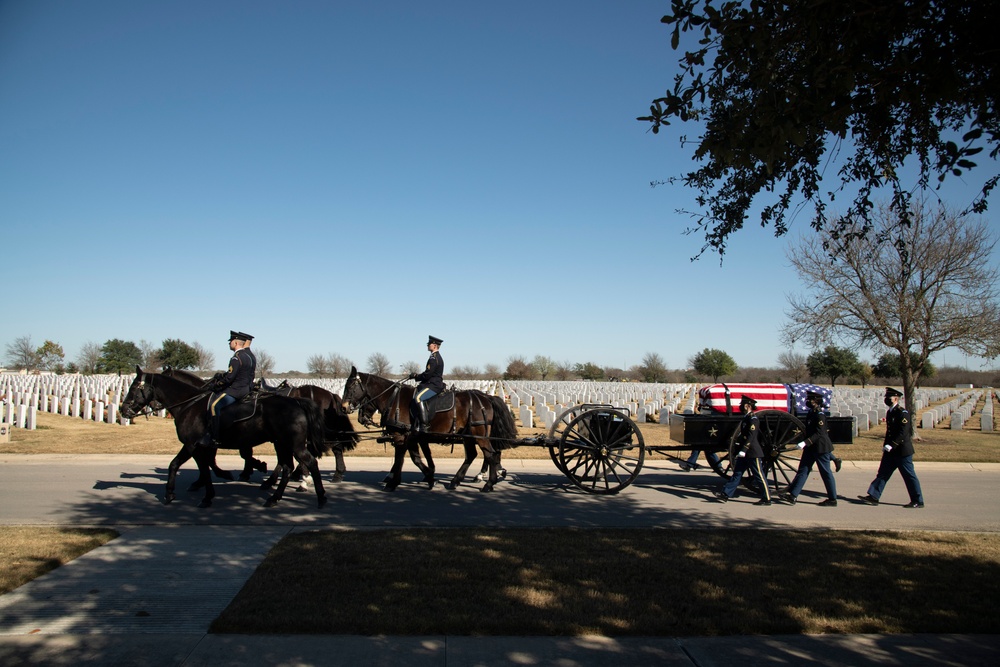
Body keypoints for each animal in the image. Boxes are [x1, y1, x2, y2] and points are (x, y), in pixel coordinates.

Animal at [121, 368, 330, 508]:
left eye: (134, 387)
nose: (123, 410)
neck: (190, 404)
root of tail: (297, 401)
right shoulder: (200, 446)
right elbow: (194, 466)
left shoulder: (193, 445)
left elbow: (192, 466)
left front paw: (191, 494)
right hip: (282, 443)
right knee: (287, 466)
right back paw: (275, 495)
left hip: (293, 444)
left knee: (309, 462)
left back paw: (319, 496)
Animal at [342, 366, 520, 490]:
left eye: (350, 387)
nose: (344, 407)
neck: (393, 399)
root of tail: (486, 397)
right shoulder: (413, 438)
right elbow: (417, 458)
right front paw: (429, 477)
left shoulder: (401, 436)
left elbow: (401, 458)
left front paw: (393, 482)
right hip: (468, 436)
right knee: (474, 455)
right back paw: (457, 481)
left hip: (479, 435)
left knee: (490, 454)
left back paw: (488, 483)